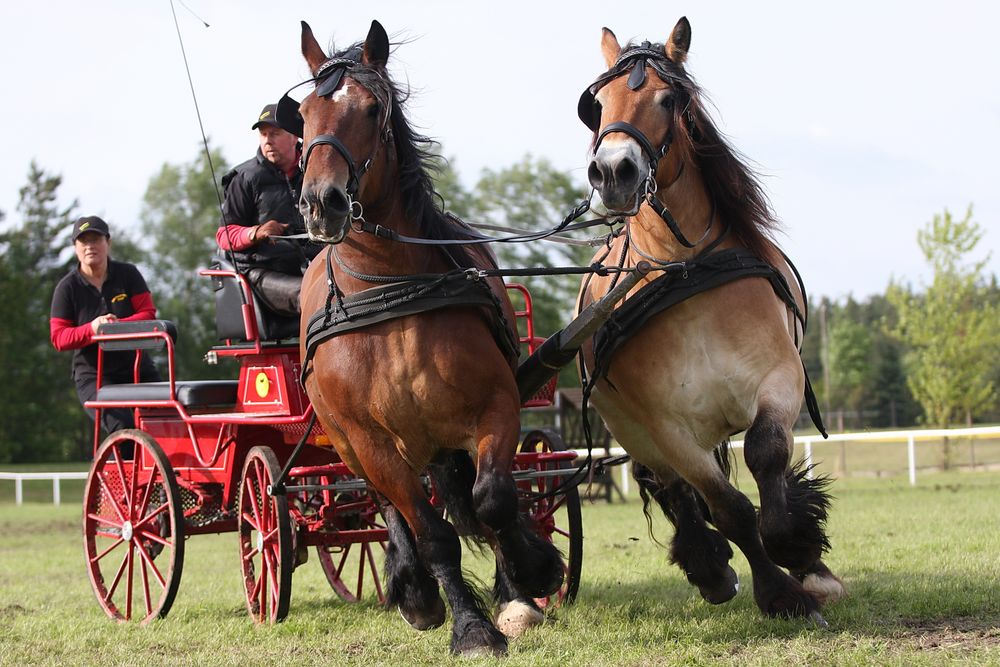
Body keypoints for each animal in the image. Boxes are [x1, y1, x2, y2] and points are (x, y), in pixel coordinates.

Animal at [292, 19, 568, 656]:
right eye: (305, 113)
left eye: (373, 109)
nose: (321, 203)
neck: (389, 292)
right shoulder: (369, 443)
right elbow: (432, 533)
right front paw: (470, 628)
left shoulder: (495, 407)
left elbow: (494, 499)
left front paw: (529, 577)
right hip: (349, 444)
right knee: (386, 508)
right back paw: (414, 590)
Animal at [580, 17, 844, 628]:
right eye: (597, 105)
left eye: (668, 98)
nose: (612, 171)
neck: (684, 273)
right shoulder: (668, 429)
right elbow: (727, 507)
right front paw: (780, 593)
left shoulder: (779, 378)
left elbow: (767, 455)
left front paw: (797, 547)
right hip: (633, 429)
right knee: (671, 490)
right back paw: (709, 567)